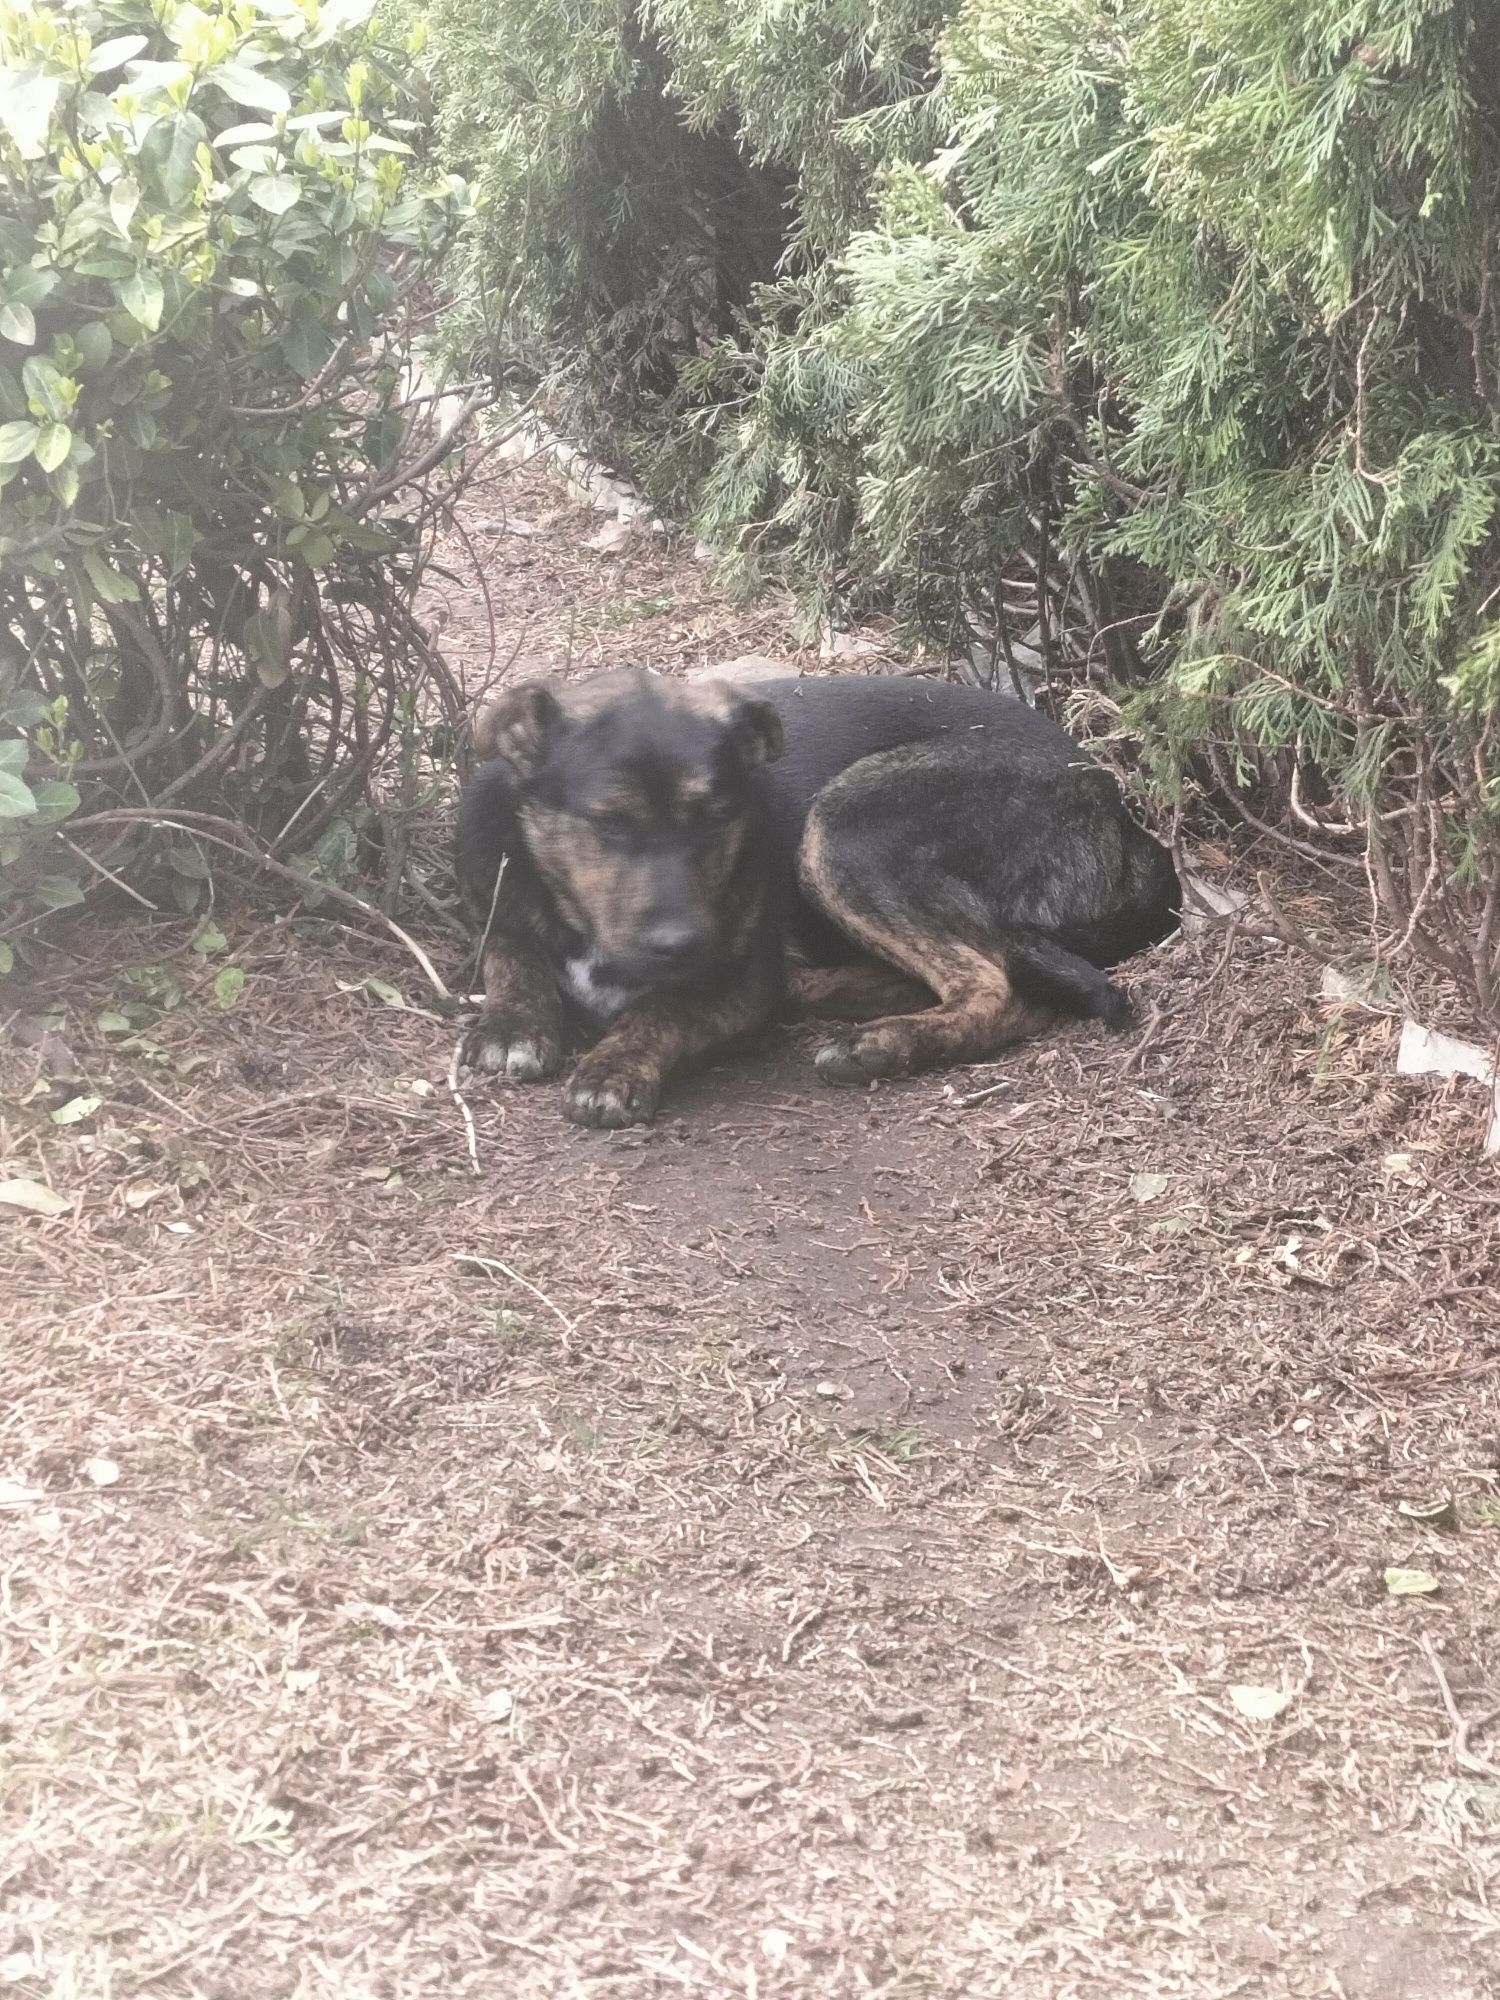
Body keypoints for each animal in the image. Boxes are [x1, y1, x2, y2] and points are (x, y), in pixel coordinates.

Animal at [452, 672, 1184, 1128]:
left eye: (717, 819)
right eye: (609, 824)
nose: (683, 944)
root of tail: (1115, 808)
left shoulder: (738, 974)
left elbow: (663, 1006)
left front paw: (614, 1064)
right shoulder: (498, 895)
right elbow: (506, 949)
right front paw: (513, 1023)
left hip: (846, 821)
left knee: (1003, 987)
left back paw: (878, 1044)